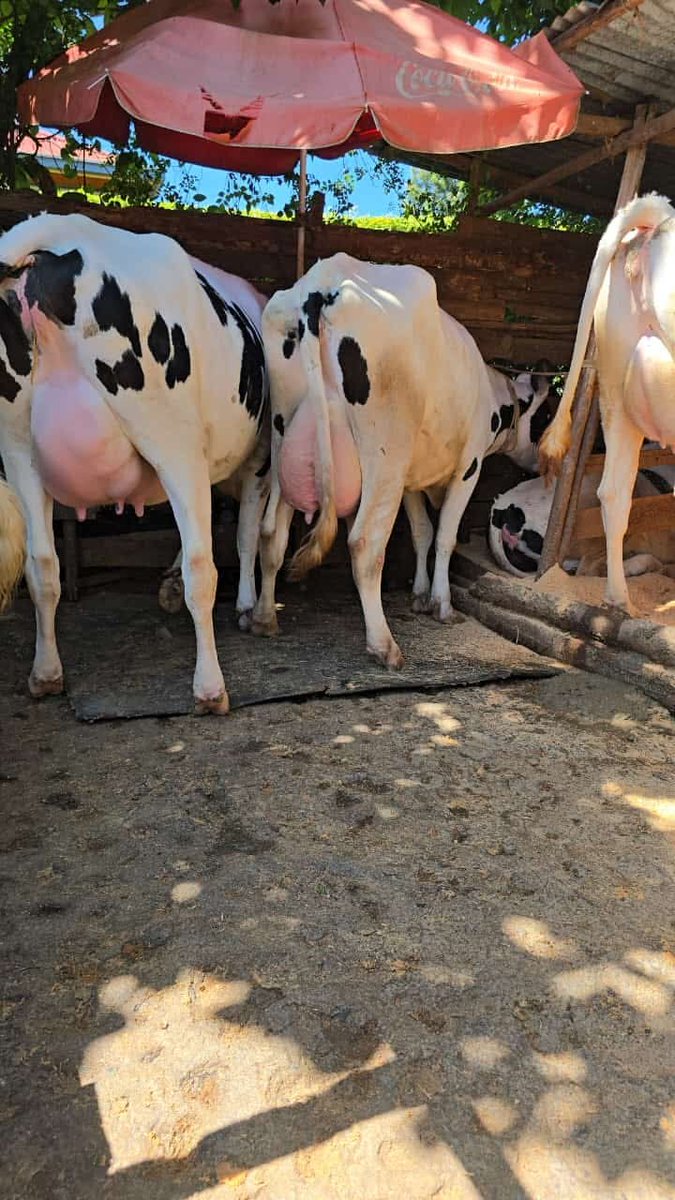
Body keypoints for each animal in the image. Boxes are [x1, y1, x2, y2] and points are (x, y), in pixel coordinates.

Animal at [0, 213, 270, 714]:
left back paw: (46, 674)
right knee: (202, 565)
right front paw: (244, 606)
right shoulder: (254, 458)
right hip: (169, 436)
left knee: (42, 565)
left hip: (20, 445)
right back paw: (209, 686)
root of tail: (57, 231)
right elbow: (241, 537)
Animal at [253, 251, 553, 668]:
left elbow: (421, 532)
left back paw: (265, 618)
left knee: (271, 534)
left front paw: (420, 596)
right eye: (547, 414)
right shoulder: (468, 467)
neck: (494, 393)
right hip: (386, 458)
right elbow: (444, 537)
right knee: (364, 543)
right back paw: (384, 645)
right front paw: (442, 605)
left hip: (287, 435)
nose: (544, 465)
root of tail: (322, 283)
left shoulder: (411, 479)